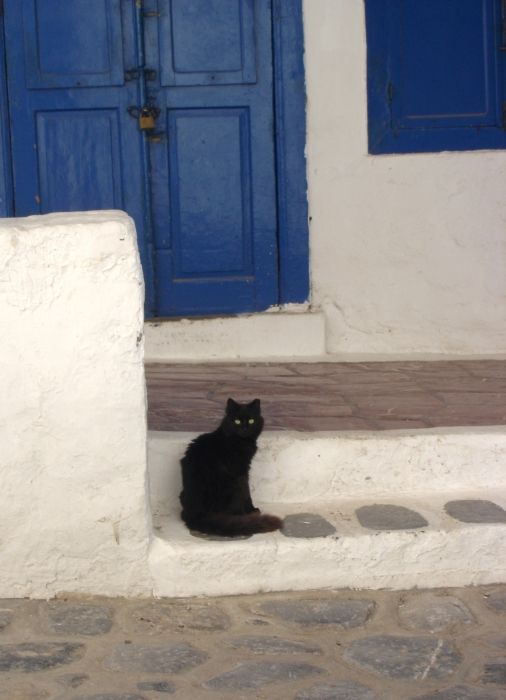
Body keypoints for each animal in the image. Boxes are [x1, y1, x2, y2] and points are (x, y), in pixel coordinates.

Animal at [179, 400, 282, 536]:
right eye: (237, 421)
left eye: (251, 421)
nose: (244, 428)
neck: (240, 442)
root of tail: (196, 516)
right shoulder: (241, 471)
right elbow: (246, 492)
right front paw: (251, 509)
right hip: (232, 484)